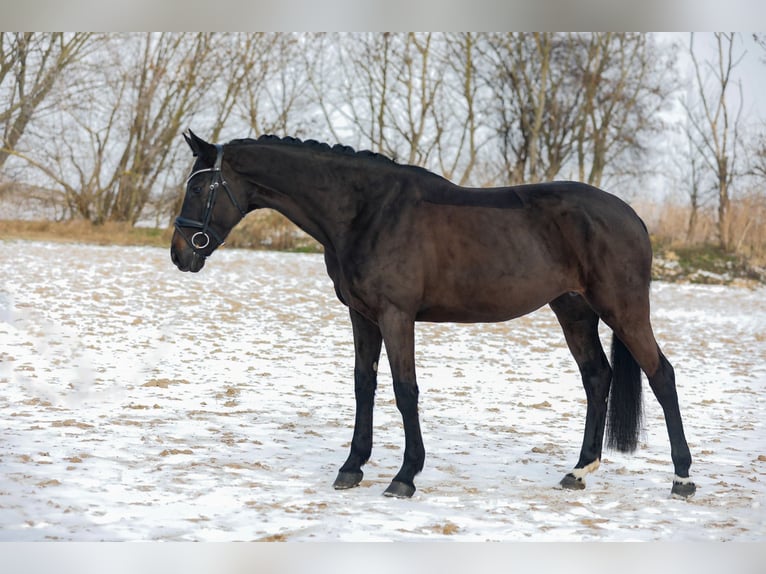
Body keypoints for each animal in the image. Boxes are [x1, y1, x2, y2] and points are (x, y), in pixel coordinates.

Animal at [170, 130, 696, 500]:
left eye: (200, 188)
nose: (180, 254)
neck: (366, 211)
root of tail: (632, 216)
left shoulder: (396, 315)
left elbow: (406, 391)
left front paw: (405, 476)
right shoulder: (362, 316)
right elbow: (364, 386)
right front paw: (351, 467)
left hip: (623, 309)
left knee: (661, 376)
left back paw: (683, 477)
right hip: (574, 311)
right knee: (597, 377)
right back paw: (579, 470)